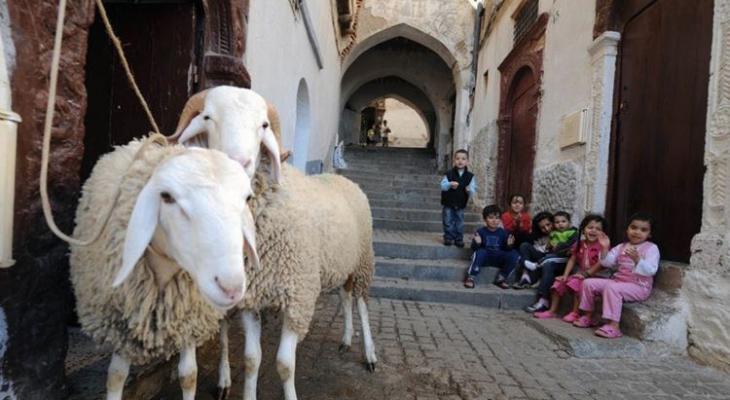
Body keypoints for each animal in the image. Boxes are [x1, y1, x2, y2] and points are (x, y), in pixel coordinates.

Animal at [68, 138, 260, 400]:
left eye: (247, 198)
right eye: (167, 197)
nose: (231, 287)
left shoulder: (189, 319)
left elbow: (189, 376)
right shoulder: (122, 324)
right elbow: (115, 376)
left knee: (223, 331)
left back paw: (224, 379)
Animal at [175, 90, 376, 400]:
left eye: (264, 125)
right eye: (207, 117)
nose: (239, 162)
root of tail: (341, 178)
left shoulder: (298, 297)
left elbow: (284, 364)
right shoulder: (252, 299)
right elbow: (251, 359)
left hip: (363, 260)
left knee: (363, 304)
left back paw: (369, 354)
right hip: (341, 263)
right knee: (345, 296)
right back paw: (344, 339)